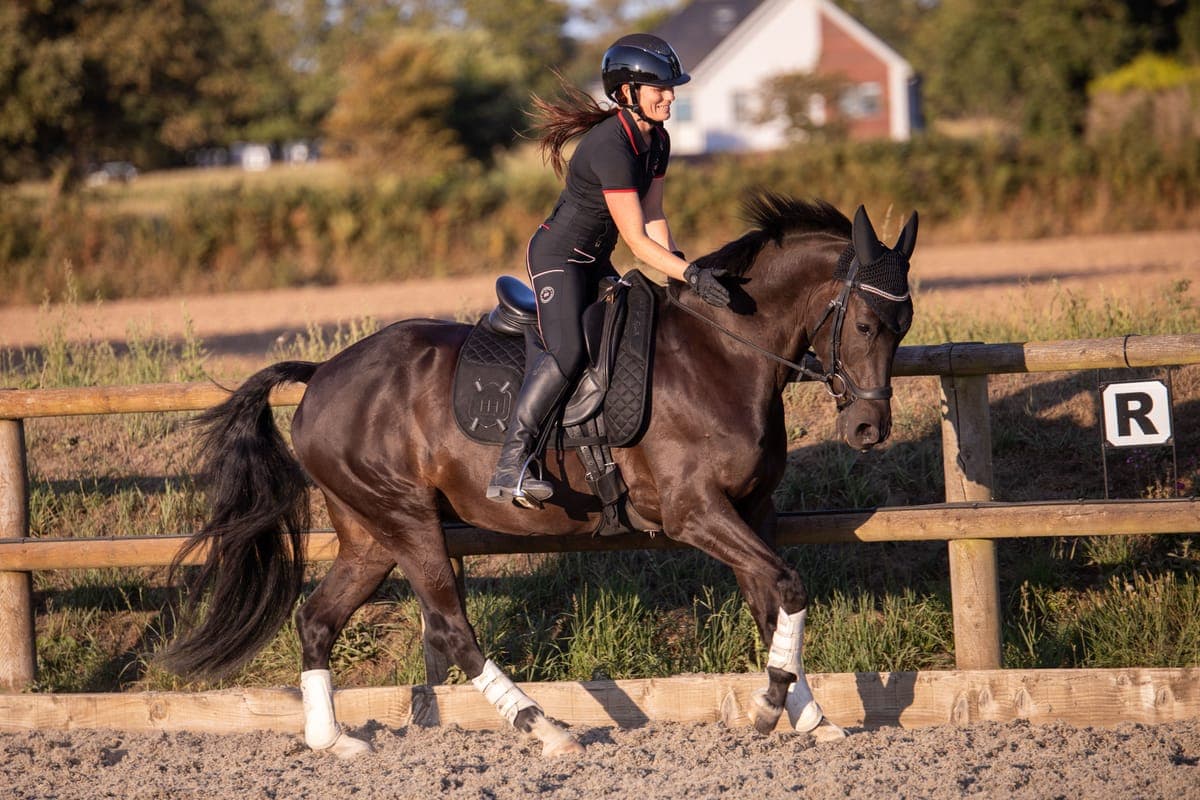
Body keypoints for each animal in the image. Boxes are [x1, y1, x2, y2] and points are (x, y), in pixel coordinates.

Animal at [161, 194, 917, 758]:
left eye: (904, 325)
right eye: (868, 323)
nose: (868, 430)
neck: (723, 353)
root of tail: (322, 375)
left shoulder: (751, 509)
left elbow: (772, 602)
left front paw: (811, 717)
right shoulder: (694, 511)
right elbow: (788, 585)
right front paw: (767, 709)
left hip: (369, 534)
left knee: (317, 619)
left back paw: (334, 742)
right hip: (407, 519)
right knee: (451, 628)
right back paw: (545, 728)